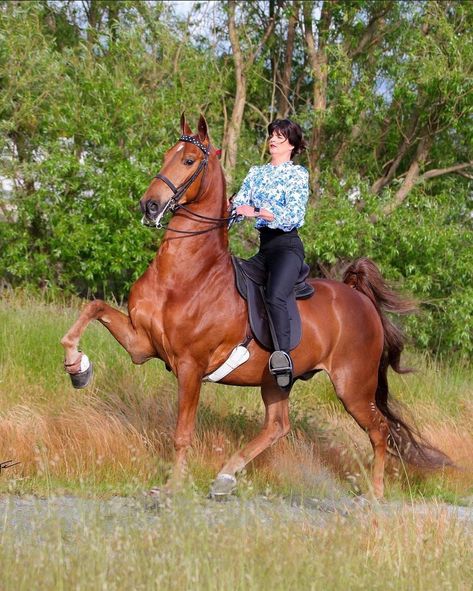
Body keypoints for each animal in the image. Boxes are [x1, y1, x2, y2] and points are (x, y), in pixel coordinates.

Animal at [60, 113, 448, 498]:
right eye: (166, 155)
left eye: (189, 160)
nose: (149, 206)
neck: (184, 276)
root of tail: (360, 298)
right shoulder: (142, 344)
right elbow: (94, 307)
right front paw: (77, 367)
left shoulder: (190, 366)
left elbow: (182, 433)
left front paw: (172, 488)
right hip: (278, 381)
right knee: (278, 426)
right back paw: (225, 477)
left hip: (353, 385)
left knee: (379, 430)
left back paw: (375, 494)